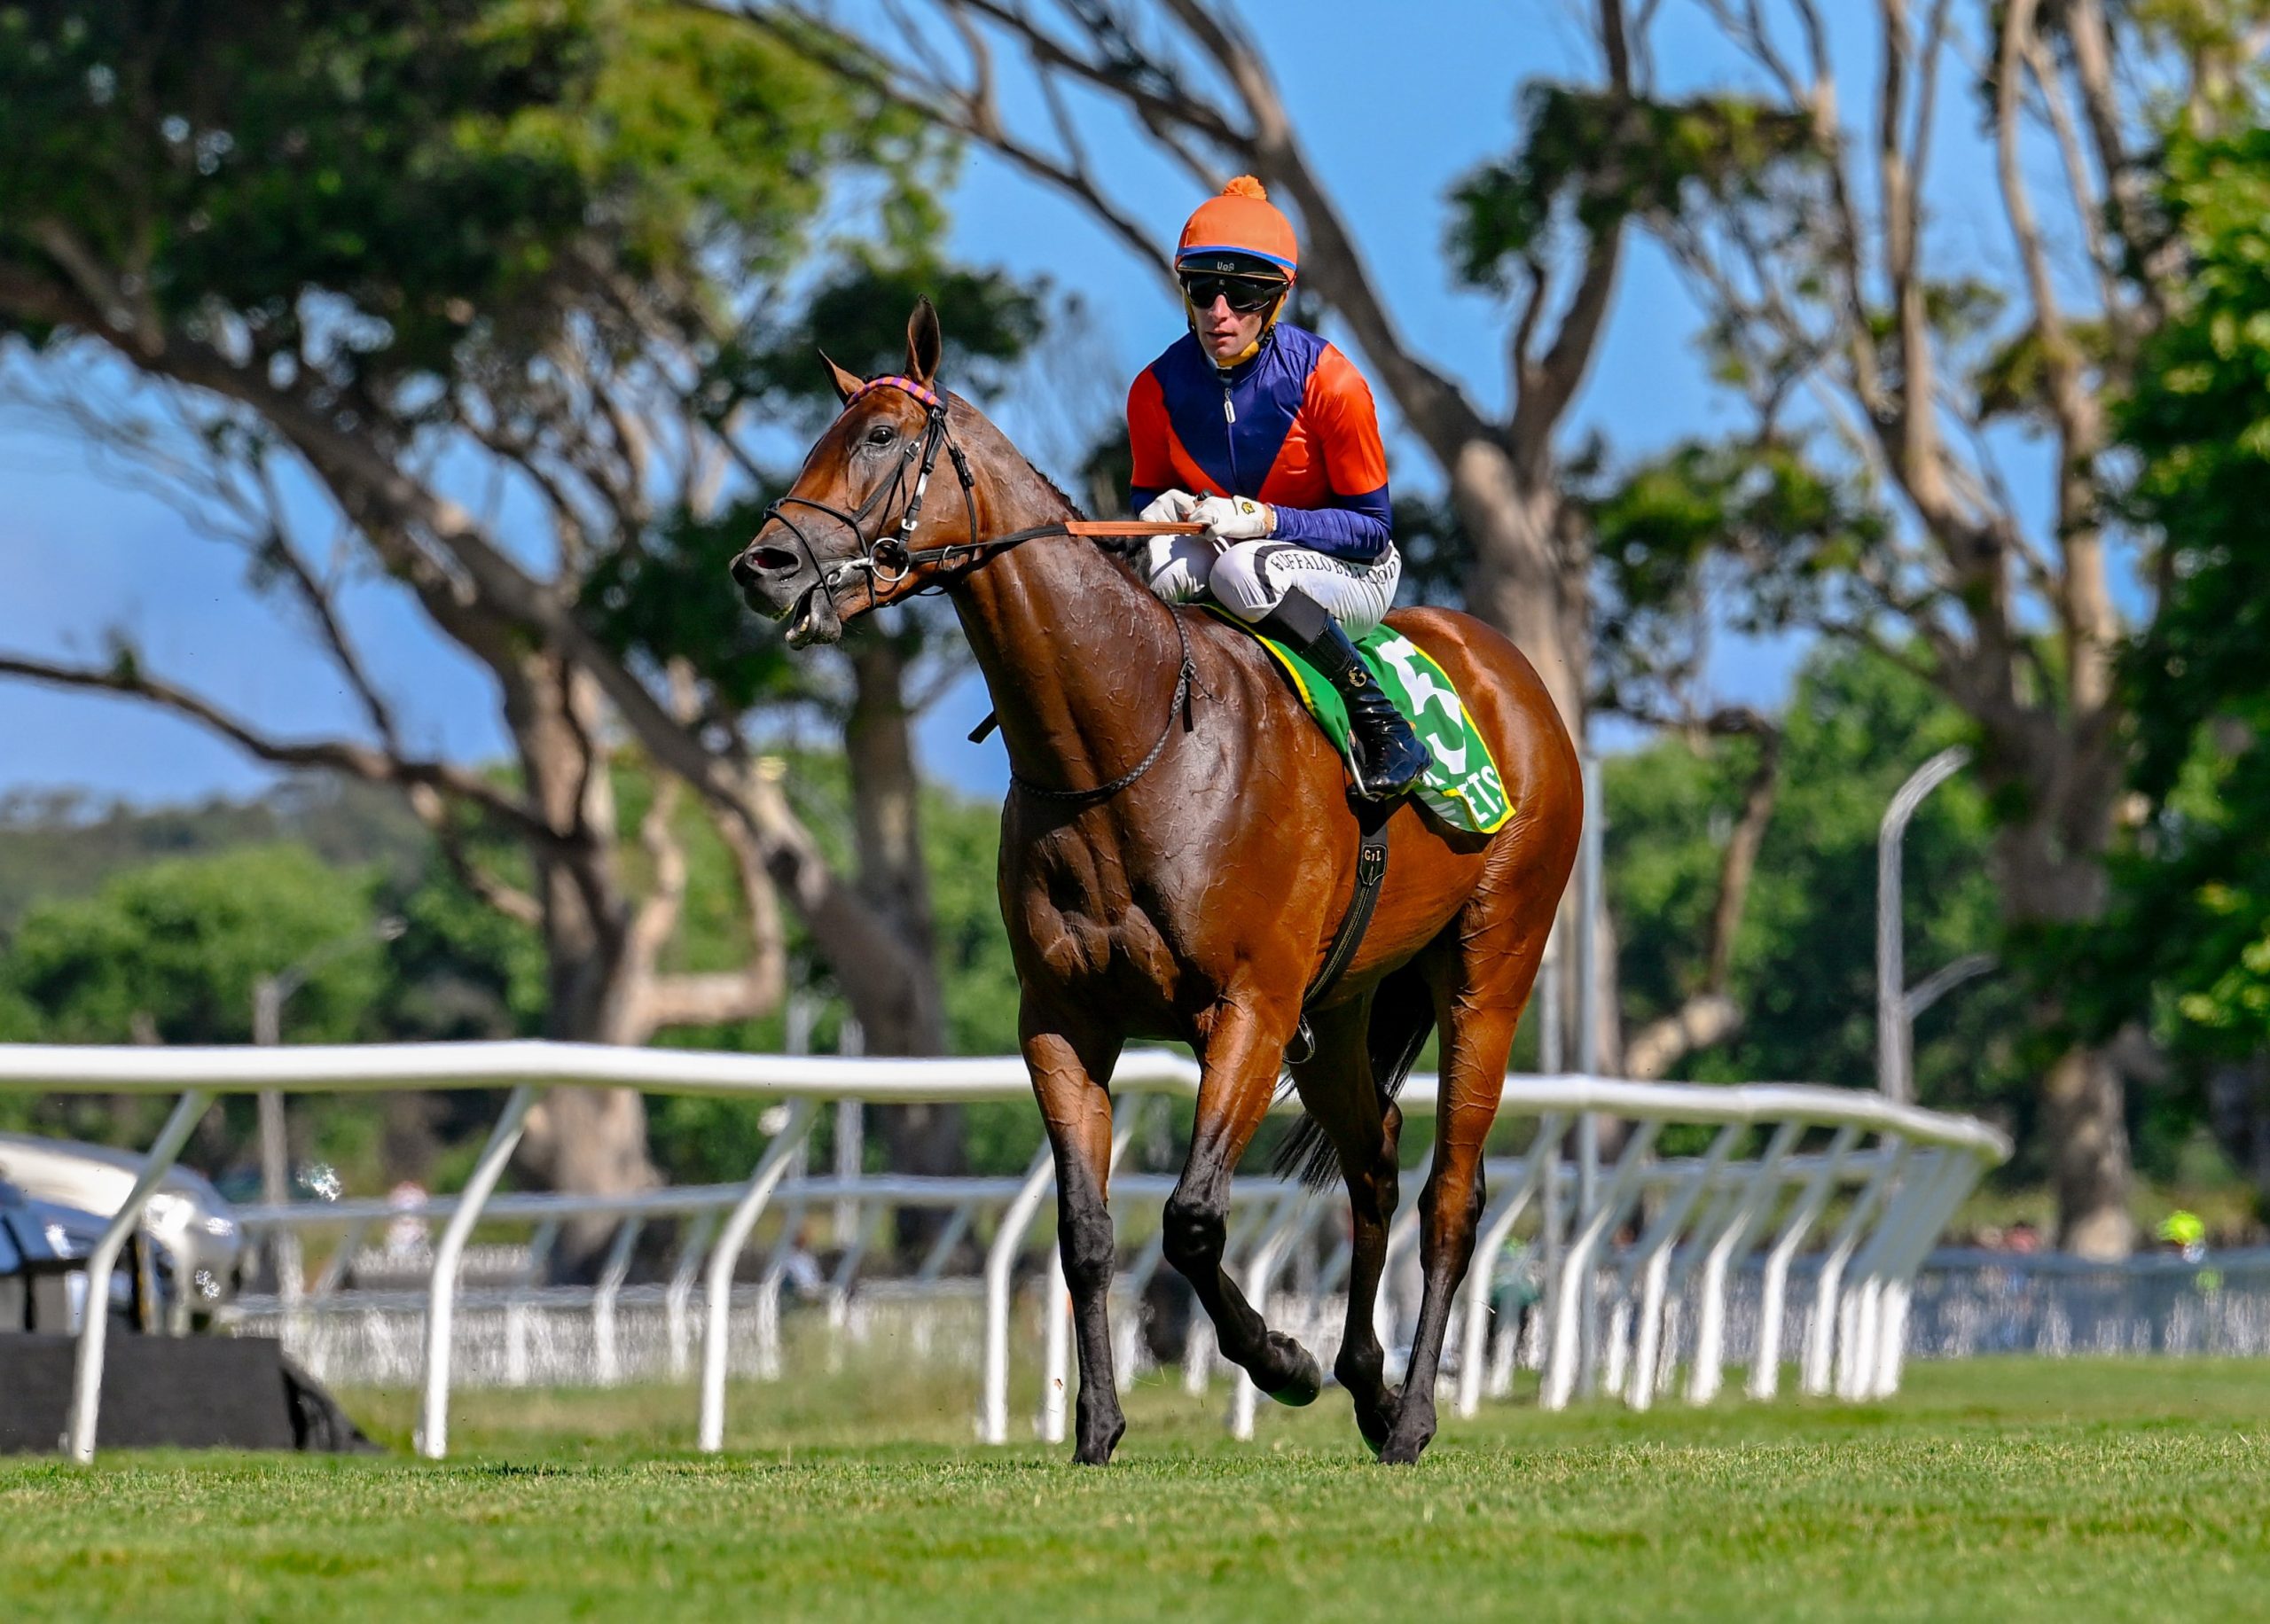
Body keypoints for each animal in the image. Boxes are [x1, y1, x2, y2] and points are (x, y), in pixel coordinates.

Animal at [731, 297, 1579, 1470]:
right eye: (826, 433)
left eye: (883, 438)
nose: (762, 564)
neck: (1125, 739)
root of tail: (1516, 673)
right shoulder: (1063, 1019)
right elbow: (1085, 1232)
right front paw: (1097, 1424)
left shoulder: (1248, 1008)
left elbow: (1190, 1218)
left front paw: (1280, 1359)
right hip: (1344, 1007)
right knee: (1374, 1163)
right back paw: (1366, 1383)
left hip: (1487, 968)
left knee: (1452, 1193)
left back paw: (1406, 1412)